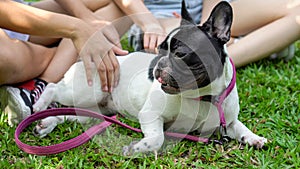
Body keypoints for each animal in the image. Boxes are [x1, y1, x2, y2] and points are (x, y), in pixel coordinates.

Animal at [32, 0, 268, 157]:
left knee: (70, 114)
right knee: (53, 87)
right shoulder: (150, 114)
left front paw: (254, 138)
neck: (204, 96)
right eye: (159, 50)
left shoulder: (228, 122)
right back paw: (39, 105)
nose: (159, 65)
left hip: (95, 111)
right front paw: (136, 148)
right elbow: (156, 138)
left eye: (180, 53)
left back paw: (46, 123)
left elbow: (240, 127)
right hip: (86, 90)